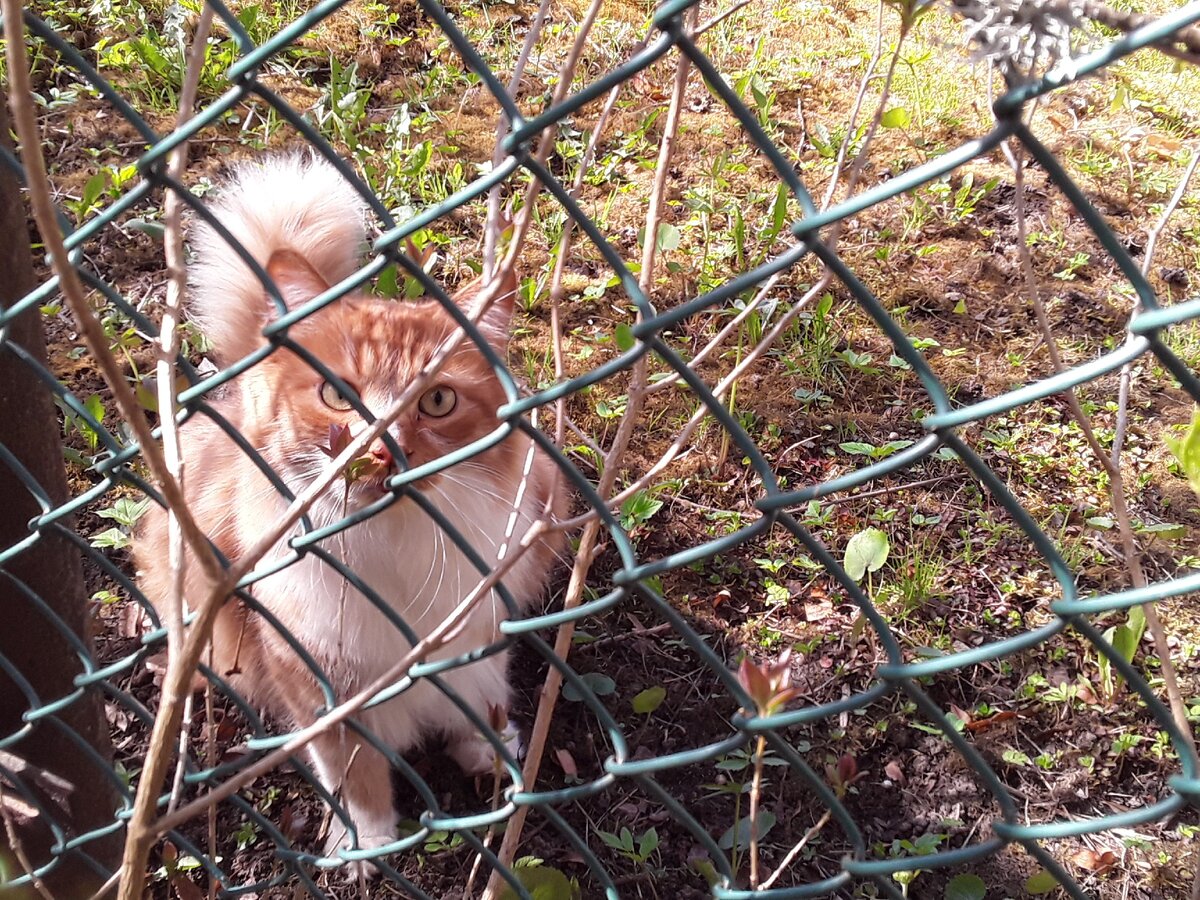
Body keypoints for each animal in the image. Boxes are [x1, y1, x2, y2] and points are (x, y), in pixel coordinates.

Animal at [138, 153, 568, 873]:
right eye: (338, 396)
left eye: (438, 402)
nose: (379, 451)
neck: (390, 543)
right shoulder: (319, 683)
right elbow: (356, 776)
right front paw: (365, 843)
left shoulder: (477, 625)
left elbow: (476, 697)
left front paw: (487, 745)